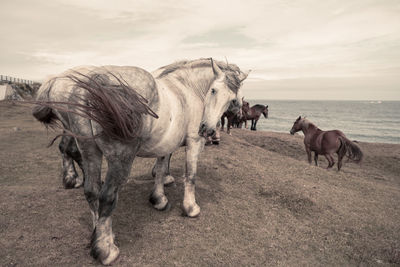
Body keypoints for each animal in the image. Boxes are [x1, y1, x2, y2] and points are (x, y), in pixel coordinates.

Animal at [32, 58, 248, 266]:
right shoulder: (194, 142)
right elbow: (190, 175)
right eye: (213, 90)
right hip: (120, 158)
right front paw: (190, 207)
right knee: (106, 195)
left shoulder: (165, 143)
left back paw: (102, 234)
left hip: (90, 151)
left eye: (231, 99)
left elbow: (160, 170)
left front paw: (159, 199)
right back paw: (105, 250)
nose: (208, 130)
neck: (189, 89)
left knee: (91, 190)